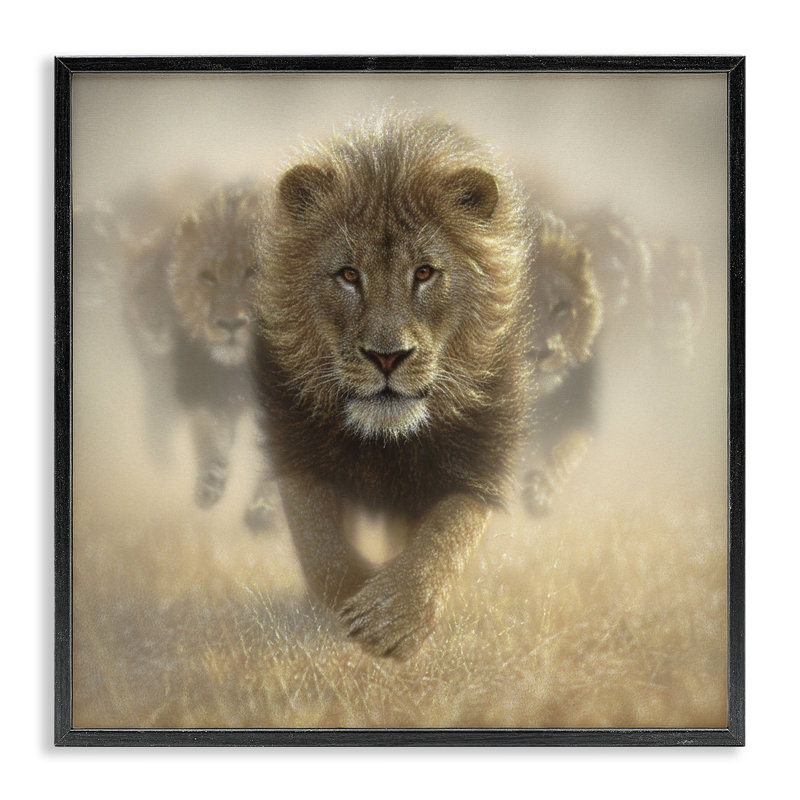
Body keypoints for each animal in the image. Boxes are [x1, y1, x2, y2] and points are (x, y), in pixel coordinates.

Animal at [125, 183, 278, 532]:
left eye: (253, 272)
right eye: (207, 276)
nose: (230, 324)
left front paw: (263, 509)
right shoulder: (205, 386)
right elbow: (209, 435)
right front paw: (210, 484)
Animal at [251, 110, 535, 658]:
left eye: (424, 272)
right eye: (348, 274)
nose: (387, 356)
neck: (386, 442)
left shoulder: (480, 458)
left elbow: (447, 536)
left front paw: (392, 616)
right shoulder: (294, 441)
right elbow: (320, 547)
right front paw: (356, 595)